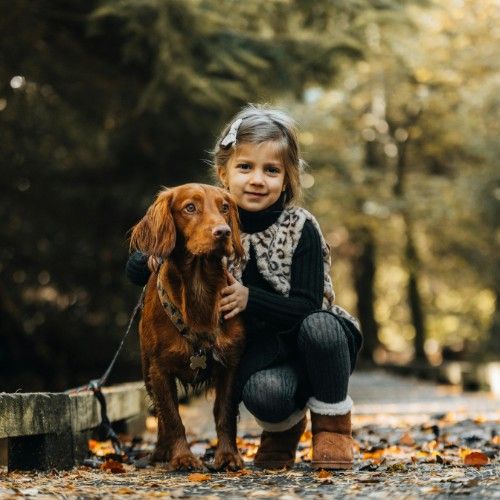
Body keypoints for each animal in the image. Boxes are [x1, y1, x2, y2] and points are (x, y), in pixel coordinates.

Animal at [130, 183, 245, 468]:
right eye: (190, 208)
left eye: (224, 207)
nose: (223, 232)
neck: (198, 285)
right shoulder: (159, 370)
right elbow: (172, 418)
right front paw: (182, 457)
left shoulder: (231, 365)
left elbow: (225, 413)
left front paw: (228, 455)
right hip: (146, 369)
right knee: (160, 415)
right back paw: (161, 451)